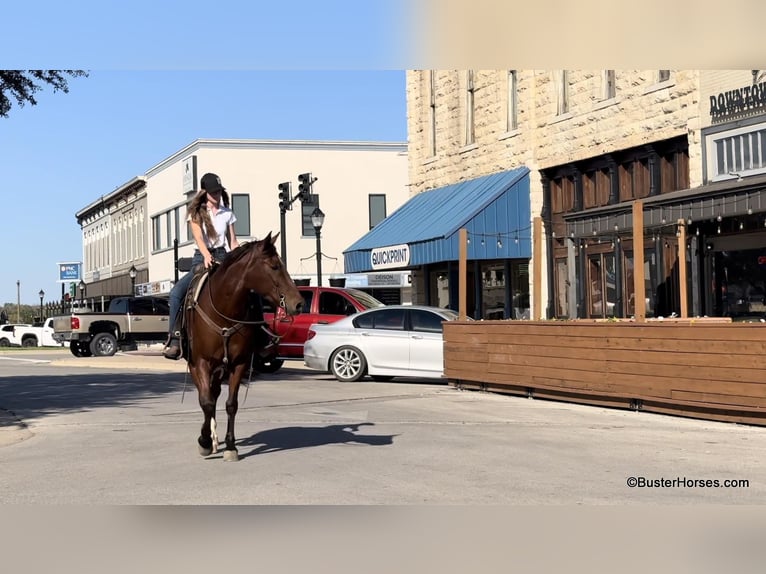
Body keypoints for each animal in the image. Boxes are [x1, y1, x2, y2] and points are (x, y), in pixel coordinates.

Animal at [183, 232, 306, 462]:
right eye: (275, 266)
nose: (299, 303)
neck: (224, 310)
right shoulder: (201, 362)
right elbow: (206, 402)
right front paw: (204, 441)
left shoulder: (238, 363)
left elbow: (231, 405)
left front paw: (230, 446)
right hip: (199, 366)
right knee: (206, 397)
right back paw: (210, 440)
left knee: (214, 393)